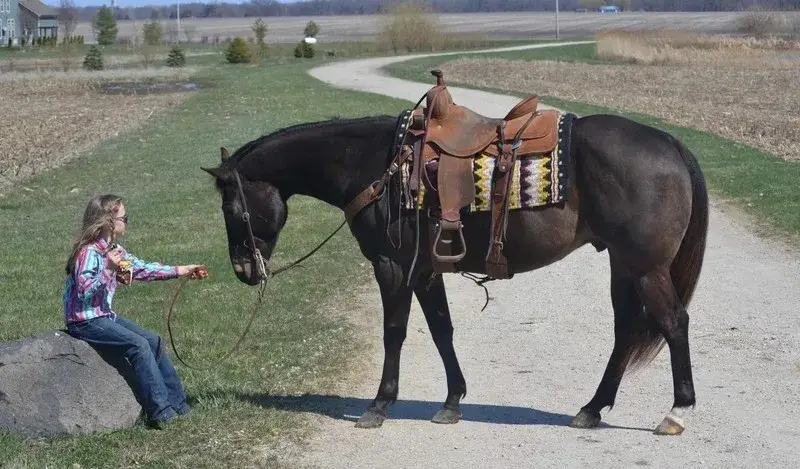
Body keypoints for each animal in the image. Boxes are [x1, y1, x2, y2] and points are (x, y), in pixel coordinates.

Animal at [201, 108, 708, 436]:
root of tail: (670, 144)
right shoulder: (425, 271)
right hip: (624, 265)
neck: (377, 166)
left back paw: (676, 412)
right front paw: (451, 402)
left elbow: (395, 333)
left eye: (232, 209)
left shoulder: (392, 267)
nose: (243, 269)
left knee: (674, 323)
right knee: (627, 331)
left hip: (645, 268)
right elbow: (442, 330)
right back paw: (592, 408)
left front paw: (379, 404)